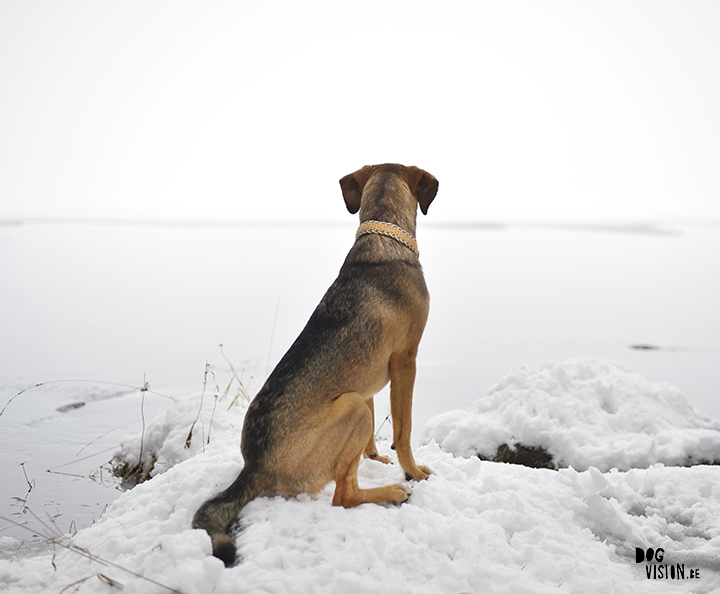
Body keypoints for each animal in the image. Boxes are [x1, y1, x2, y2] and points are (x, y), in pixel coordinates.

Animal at [193, 162, 438, 564]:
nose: (406, 478)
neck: (383, 237)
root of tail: (254, 468)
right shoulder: (406, 361)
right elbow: (404, 431)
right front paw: (412, 472)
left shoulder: (368, 377)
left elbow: (373, 435)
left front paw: (375, 458)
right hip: (352, 406)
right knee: (343, 496)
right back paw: (392, 493)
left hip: (355, 401)